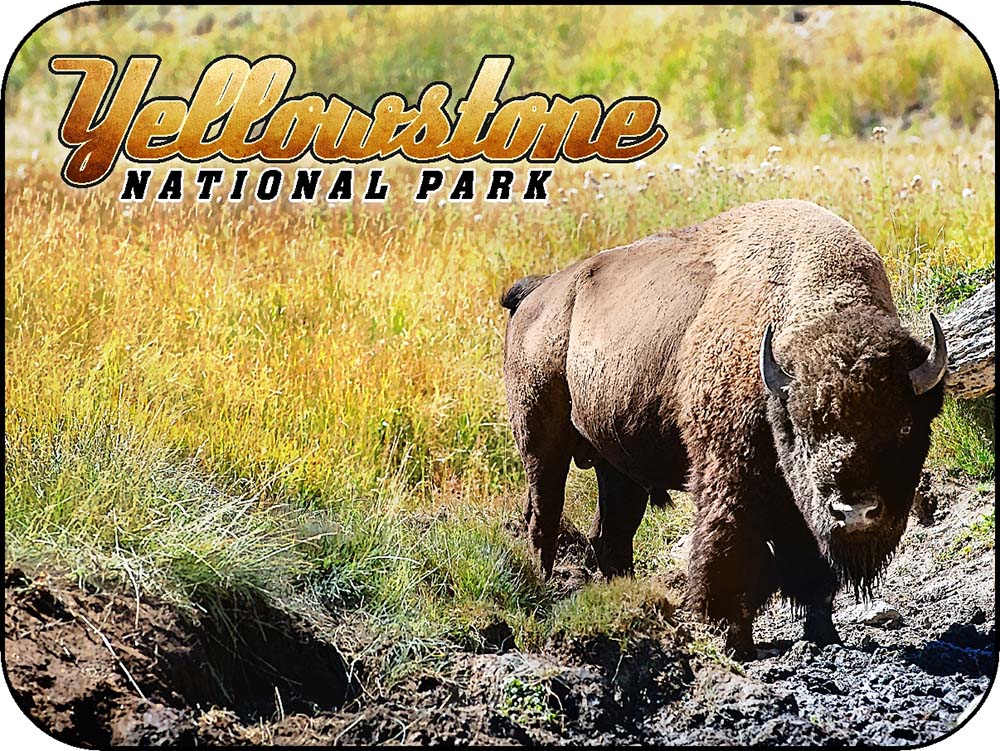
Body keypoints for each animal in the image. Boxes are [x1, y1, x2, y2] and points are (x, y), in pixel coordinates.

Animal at [500, 198, 944, 656]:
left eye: (904, 427)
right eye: (803, 428)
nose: (855, 512)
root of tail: (538, 292)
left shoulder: (797, 505)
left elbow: (811, 570)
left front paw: (825, 635)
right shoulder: (729, 474)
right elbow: (732, 553)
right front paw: (736, 641)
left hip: (618, 468)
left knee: (611, 540)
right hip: (541, 443)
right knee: (543, 522)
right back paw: (546, 590)